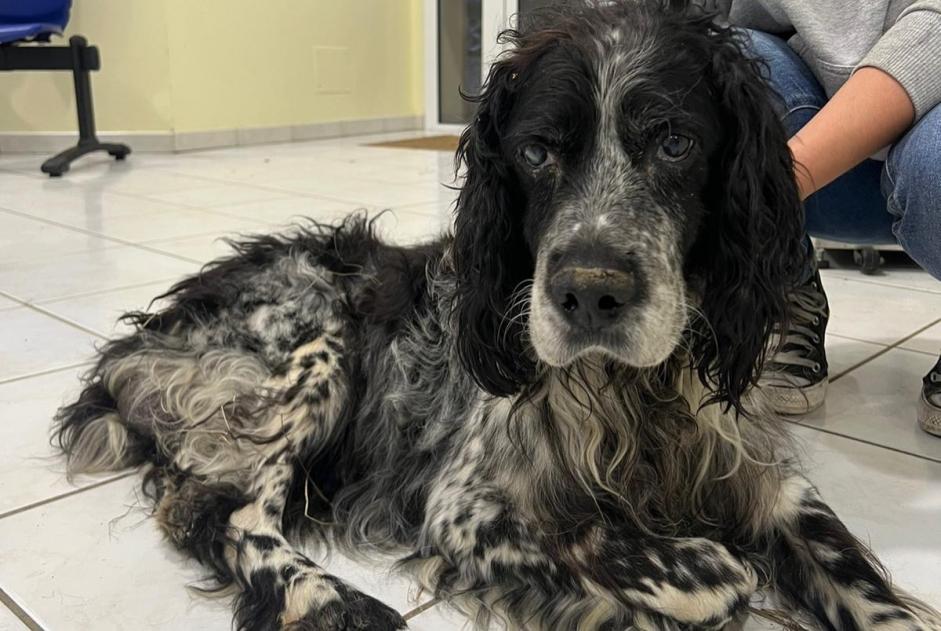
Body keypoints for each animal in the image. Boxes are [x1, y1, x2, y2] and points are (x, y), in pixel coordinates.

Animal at [55, 1, 936, 631]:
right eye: (536, 151)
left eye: (676, 143)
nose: (588, 293)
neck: (634, 397)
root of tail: (144, 335)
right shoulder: (463, 505)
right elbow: (678, 565)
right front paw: (686, 567)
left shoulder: (763, 483)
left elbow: (854, 579)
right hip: (316, 347)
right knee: (225, 510)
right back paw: (326, 600)